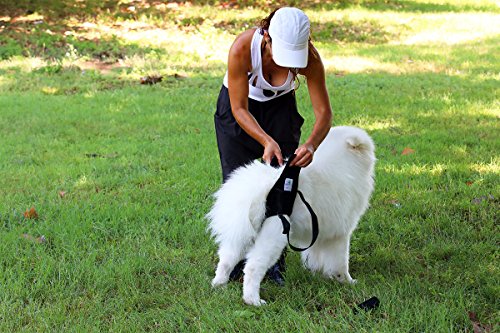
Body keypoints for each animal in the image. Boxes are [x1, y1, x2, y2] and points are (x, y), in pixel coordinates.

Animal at [206, 126, 376, 304]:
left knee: (226, 260)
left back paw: (219, 286)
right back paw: (254, 301)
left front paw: (317, 274)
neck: (345, 164)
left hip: (241, 235)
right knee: (252, 267)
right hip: (273, 237)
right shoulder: (340, 233)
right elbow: (341, 261)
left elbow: (315, 257)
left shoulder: (318, 232)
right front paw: (347, 281)